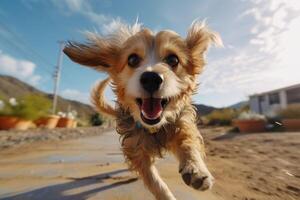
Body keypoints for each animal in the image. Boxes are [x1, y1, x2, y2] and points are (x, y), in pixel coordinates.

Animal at [63, 19, 221, 200]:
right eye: (132, 59)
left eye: (173, 59)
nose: (151, 78)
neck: (154, 129)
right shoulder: (136, 150)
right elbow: (154, 181)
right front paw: (165, 193)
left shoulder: (182, 125)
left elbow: (189, 144)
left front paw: (195, 169)